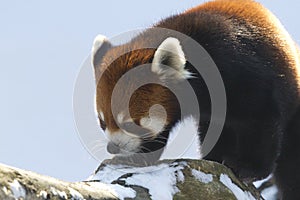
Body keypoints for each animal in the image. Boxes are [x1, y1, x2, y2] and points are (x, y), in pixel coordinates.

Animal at [92, 0, 300, 198]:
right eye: (102, 122)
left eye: (128, 124)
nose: (112, 147)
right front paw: (135, 158)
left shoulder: (245, 74)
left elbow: (261, 121)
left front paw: (249, 169)